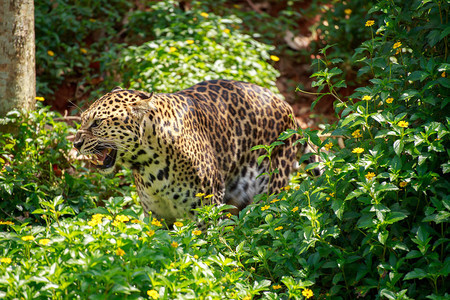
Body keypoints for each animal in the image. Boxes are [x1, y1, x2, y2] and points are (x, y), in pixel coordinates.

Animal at [74, 79, 302, 225]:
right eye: (83, 120)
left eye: (97, 123)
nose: (75, 143)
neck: (149, 165)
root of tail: (286, 105)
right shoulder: (155, 215)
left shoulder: (207, 207)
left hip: (270, 191)